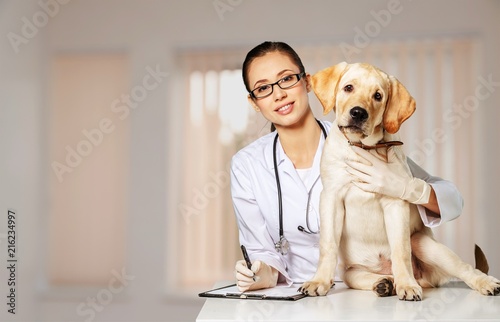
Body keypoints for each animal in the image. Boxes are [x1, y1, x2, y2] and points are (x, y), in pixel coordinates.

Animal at [298, 62, 498, 300]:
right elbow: (327, 245)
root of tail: (426, 279)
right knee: (365, 276)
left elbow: (400, 249)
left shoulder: (395, 203)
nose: (358, 113)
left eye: (377, 96)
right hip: (350, 273)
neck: (363, 148)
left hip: (423, 243)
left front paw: (407, 285)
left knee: (464, 267)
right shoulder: (331, 198)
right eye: (348, 88)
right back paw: (385, 283)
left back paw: (482, 282)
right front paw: (319, 281)